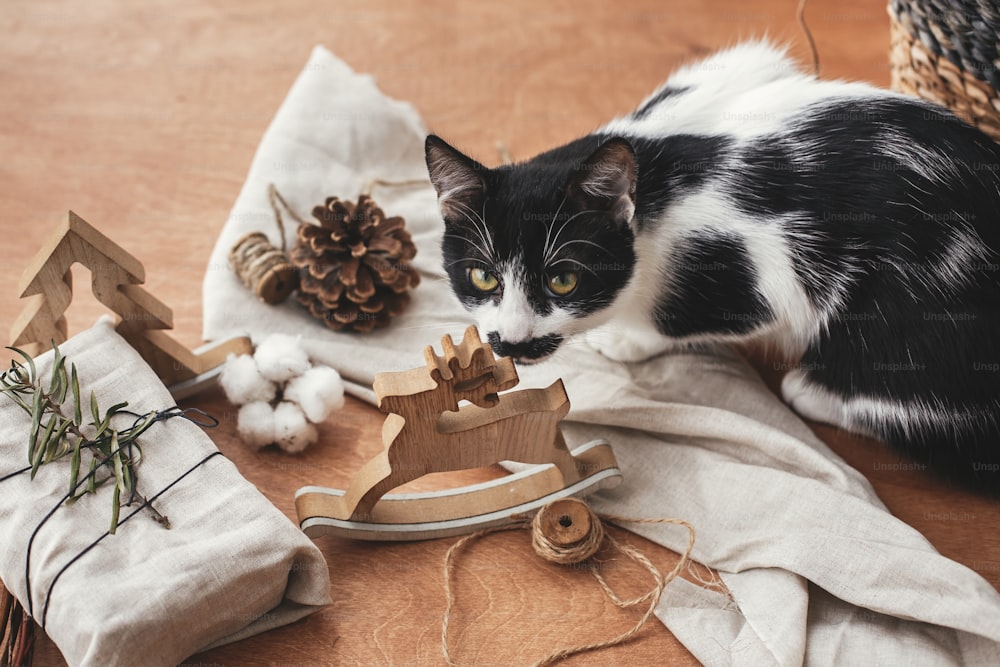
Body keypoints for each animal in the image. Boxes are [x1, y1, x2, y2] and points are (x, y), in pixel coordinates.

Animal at [422, 40, 1000, 490]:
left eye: (563, 281)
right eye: (482, 276)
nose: (511, 341)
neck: (652, 160)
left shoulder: (759, 266)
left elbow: (686, 317)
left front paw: (627, 339)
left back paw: (815, 389)